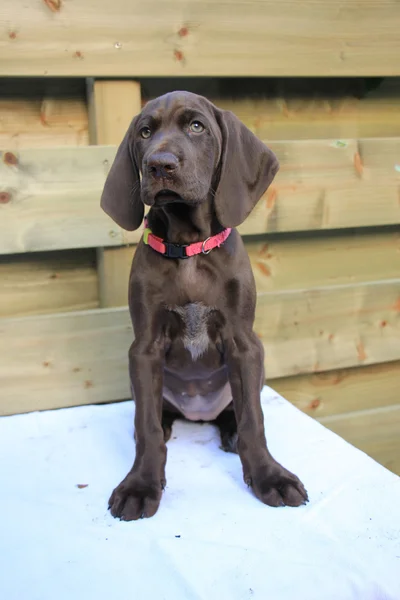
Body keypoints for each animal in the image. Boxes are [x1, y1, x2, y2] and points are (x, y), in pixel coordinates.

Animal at [101, 90, 308, 520]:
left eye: (196, 126)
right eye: (145, 132)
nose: (159, 165)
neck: (189, 249)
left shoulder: (244, 343)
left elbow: (253, 421)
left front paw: (269, 476)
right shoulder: (144, 348)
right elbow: (145, 426)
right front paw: (141, 484)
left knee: (238, 413)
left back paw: (228, 430)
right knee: (154, 416)